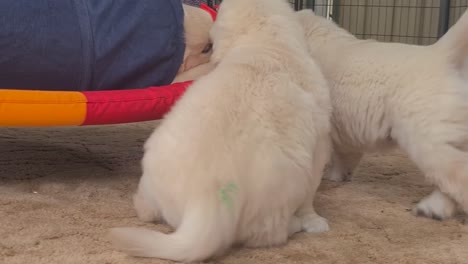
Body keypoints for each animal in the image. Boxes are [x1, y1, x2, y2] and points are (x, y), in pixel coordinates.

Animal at [108, 0, 330, 262]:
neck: (265, 43)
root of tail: (205, 196)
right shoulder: (320, 144)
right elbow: (311, 193)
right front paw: (315, 221)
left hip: (154, 171)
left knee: (148, 209)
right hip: (282, 190)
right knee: (268, 233)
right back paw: (294, 225)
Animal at [296, 9, 468, 221]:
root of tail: (442, 55)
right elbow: (344, 154)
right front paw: (339, 175)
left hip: (426, 136)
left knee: (457, 173)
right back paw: (433, 209)